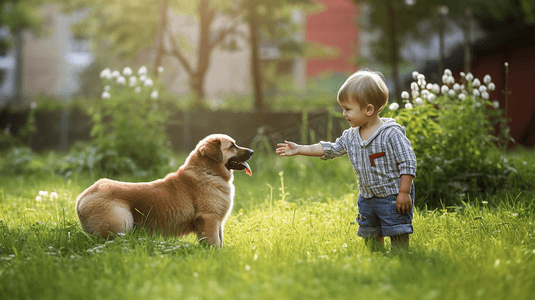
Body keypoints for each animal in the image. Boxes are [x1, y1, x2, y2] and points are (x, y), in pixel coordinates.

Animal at [75, 134, 253, 246]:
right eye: (232, 146)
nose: (252, 151)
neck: (208, 172)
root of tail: (82, 197)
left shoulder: (217, 222)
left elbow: (220, 241)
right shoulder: (209, 219)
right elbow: (214, 243)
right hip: (121, 223)